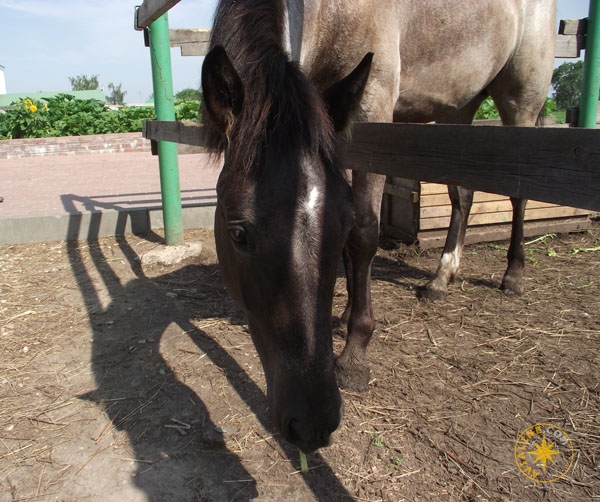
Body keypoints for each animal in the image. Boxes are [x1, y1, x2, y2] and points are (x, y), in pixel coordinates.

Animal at [203, 0, 556, 454]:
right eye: (238, 233)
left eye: (341, 223)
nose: (313, 422)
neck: (335, 13)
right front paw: (348, 311)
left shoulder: (374, 99)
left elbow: (365, 234)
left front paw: (355, 351)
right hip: (461, 107)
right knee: (462, 192)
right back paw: (442, 278)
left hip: (520, 100)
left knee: (518, 193)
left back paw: (514, 273)